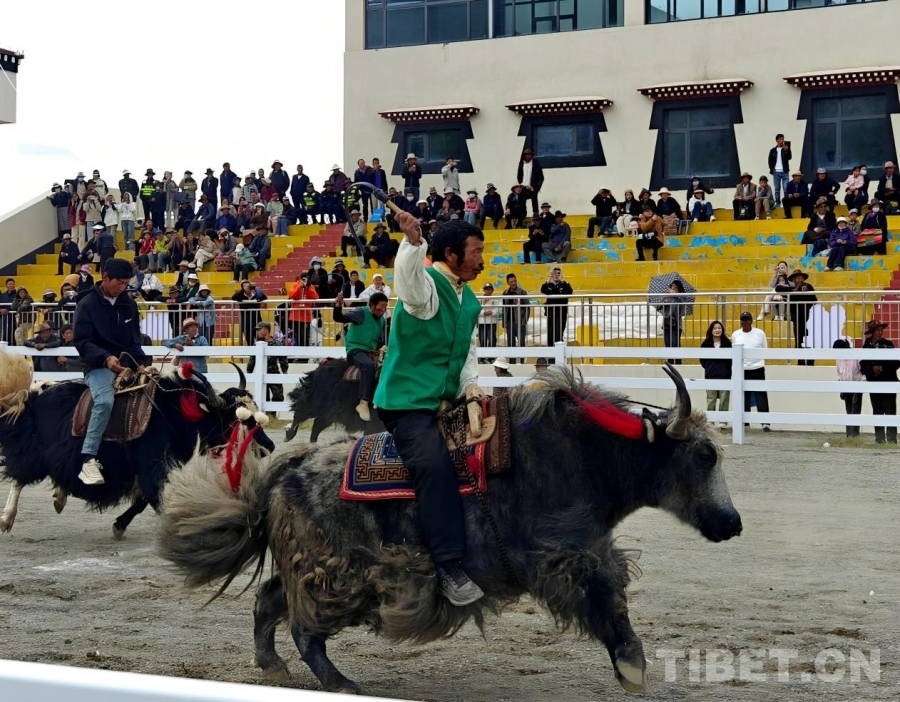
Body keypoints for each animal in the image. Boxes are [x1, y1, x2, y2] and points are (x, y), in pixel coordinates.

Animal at [0, 348, 274, 538]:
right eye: (238, 418)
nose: (269, 446)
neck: (174, 413)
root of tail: (36, 394)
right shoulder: (151, 466)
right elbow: (157, 497)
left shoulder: (149, 469)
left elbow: (142, 500)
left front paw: (119, 525)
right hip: (35, 449)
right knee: (19, 477)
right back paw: (7, 519)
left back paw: (58, 498)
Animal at [159, 363, 742, 695]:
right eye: (705, 455)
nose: (732, 523)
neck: (587, 457)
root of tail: (283, 471)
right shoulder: (562, 556)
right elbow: (600, 599)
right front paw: (633, 669)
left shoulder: (593, 550)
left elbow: (614, 602)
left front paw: (631, 666)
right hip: (336, 574)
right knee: (305, 627)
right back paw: (341, 682)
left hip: (312, 567)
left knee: (269, 601)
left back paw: (272, 666)